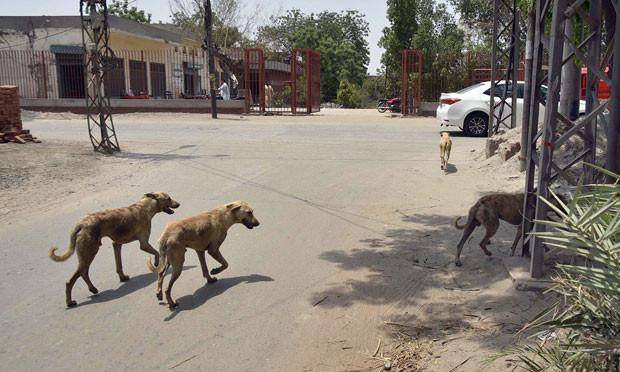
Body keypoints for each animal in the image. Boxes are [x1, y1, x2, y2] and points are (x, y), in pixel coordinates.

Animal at [49, 192, 179, 308]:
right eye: (168, 198)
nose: (178, 204)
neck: (144, 207)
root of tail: (81, 223)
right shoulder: (144, 244)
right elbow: (156, 253)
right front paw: (157, 263)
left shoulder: (116, 244)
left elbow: (119, 265)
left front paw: (122, 277)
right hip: (90, 252)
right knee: (71, 280)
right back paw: (70, 302)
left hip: (88, 253)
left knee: (84, 273)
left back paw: (92, 289)